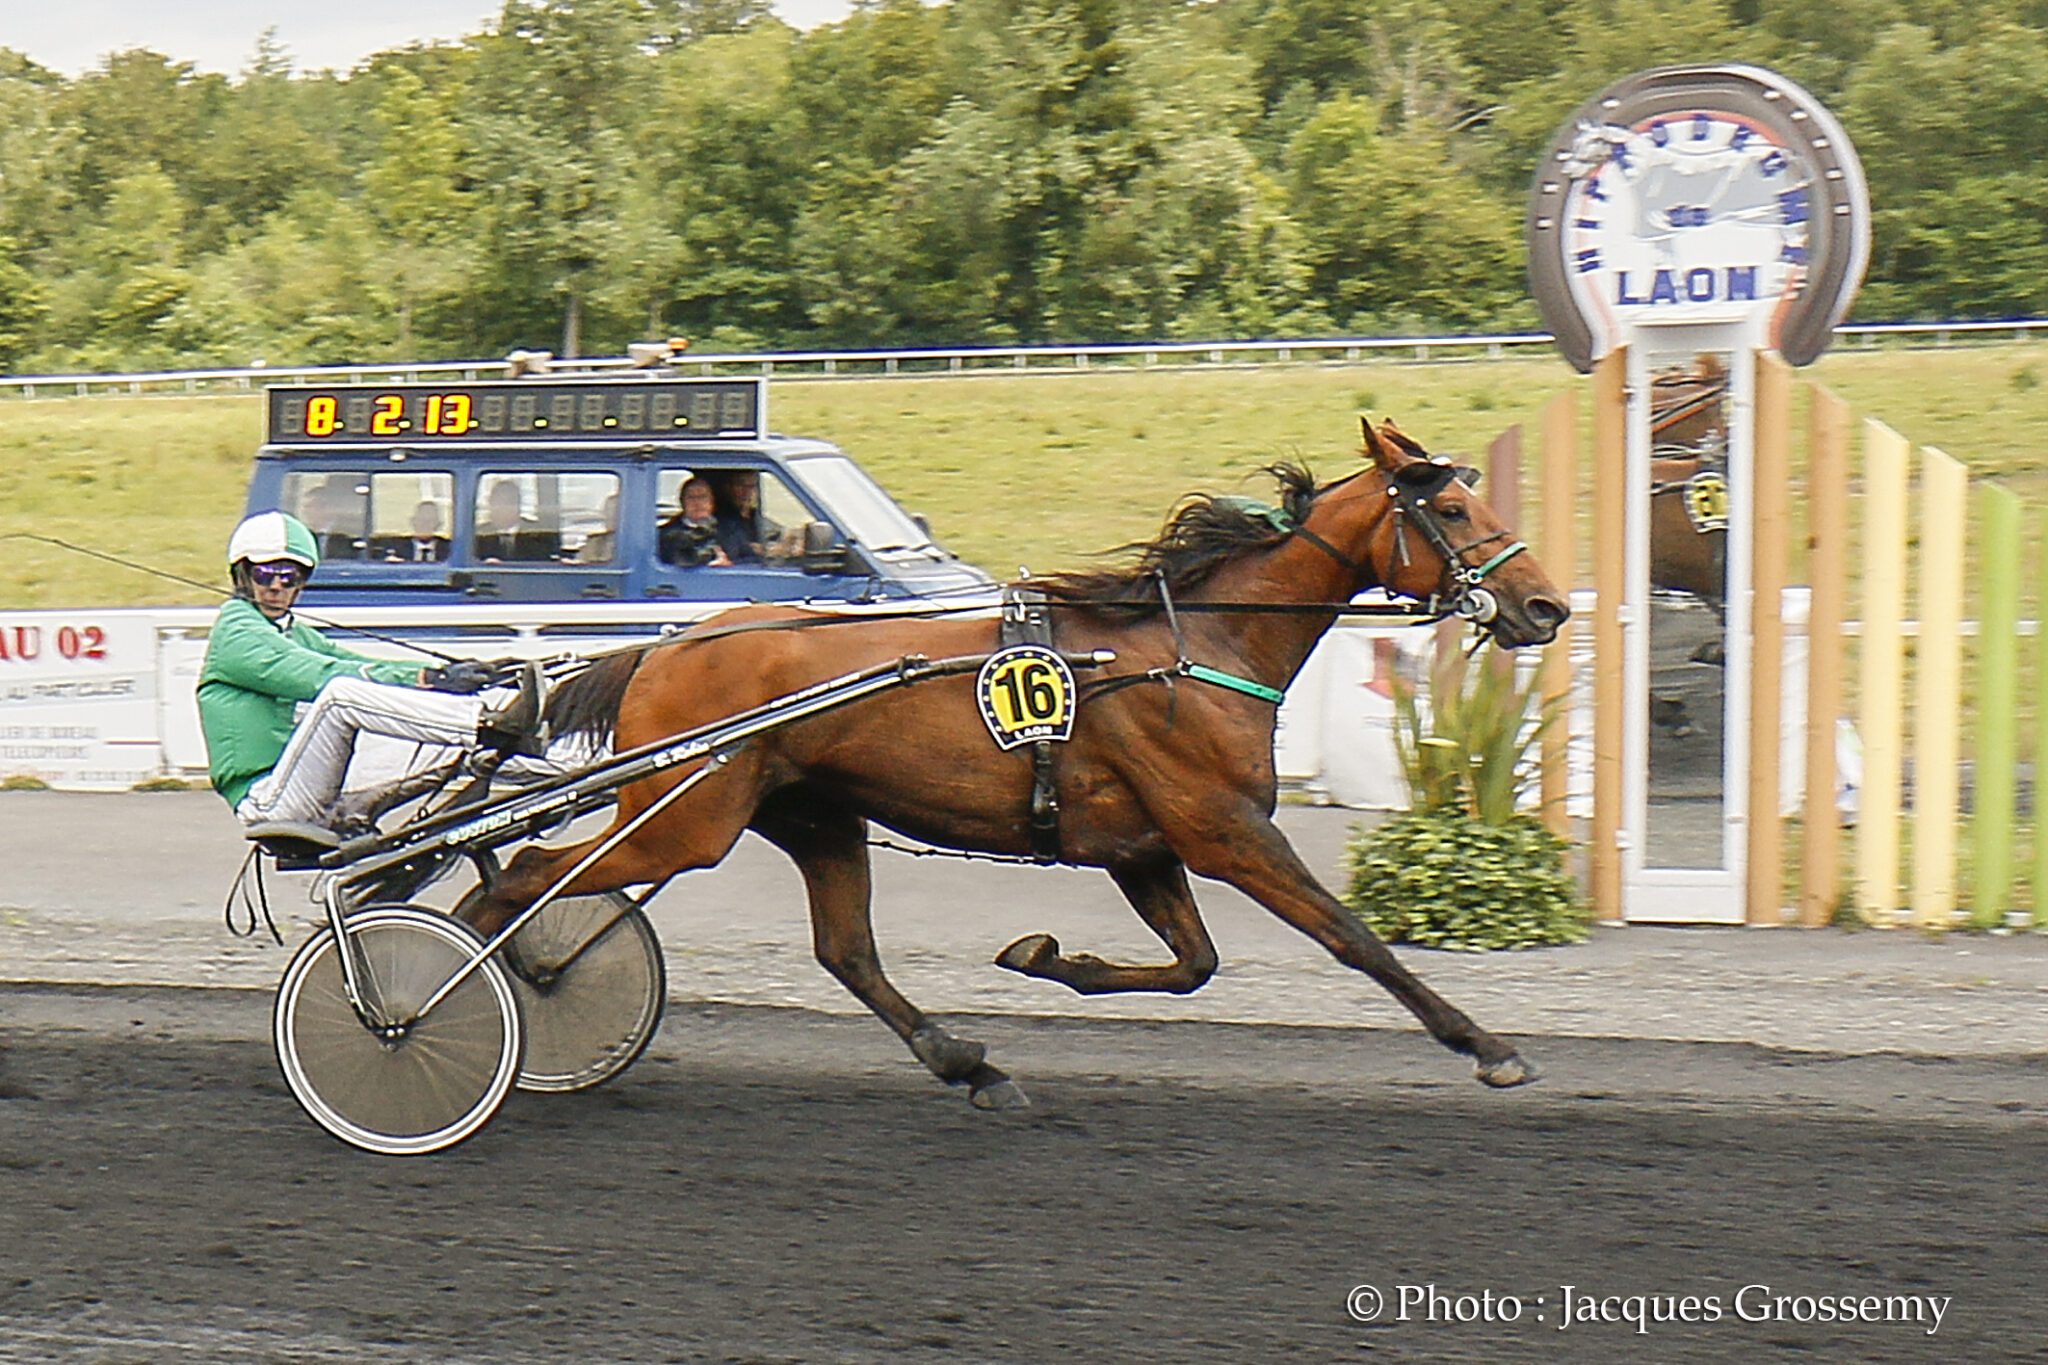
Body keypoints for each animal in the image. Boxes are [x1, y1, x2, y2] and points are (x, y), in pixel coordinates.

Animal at [468, 423, 1564, 1113]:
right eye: (1452, 509)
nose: (1546, 606)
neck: (1189, 648)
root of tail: (666, 647)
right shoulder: (1223, 830)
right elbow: (1352, 937)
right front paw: (1487, 1047)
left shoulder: (1142, 847)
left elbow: (1194, 964)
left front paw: (1044, 958)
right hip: (685, 818)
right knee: (525, 879)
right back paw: (469, 987)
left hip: (811, 815)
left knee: (846, 951)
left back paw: (966, 1062)